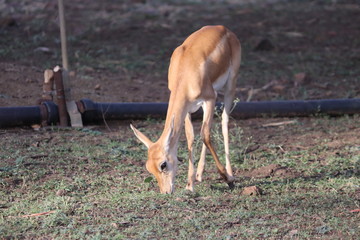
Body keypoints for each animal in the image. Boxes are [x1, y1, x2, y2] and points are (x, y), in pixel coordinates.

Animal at [130, 24, 242, 193]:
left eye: (163, 164)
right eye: (149, 167)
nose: (166, 192)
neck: (185, 73)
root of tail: (223, 28)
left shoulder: (209, 99)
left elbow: (205, 134)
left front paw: (227, 178)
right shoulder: (188, 109)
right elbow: (191, 137)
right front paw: (190, 185)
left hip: (230, 84)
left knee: (224, 121)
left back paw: (230, 173)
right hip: (211, 97)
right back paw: (200, 174)